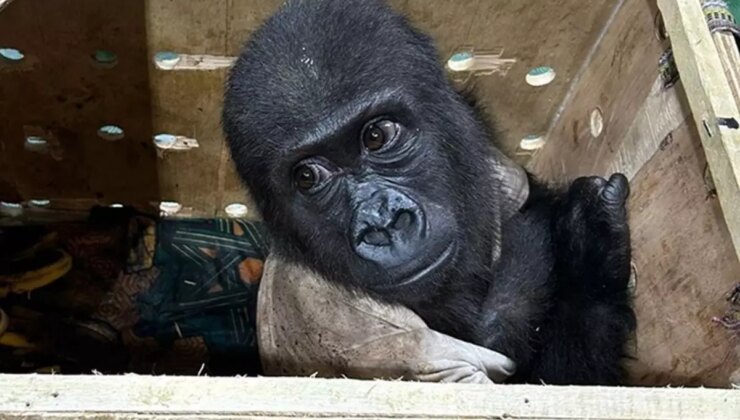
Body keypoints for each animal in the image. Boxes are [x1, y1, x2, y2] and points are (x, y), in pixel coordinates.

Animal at [224, 0, 636, 384]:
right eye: (308, 176)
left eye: (377, 136)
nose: (382, 221)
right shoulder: (355, 327)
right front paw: (588, 256)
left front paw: (588, 246)